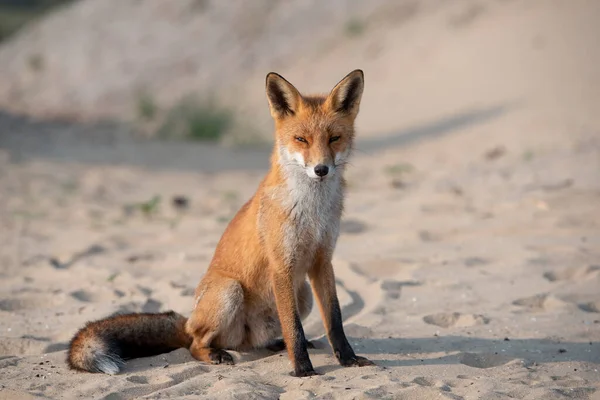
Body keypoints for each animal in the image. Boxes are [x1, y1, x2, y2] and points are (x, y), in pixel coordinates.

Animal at [68, 69, 372, 378]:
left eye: (334, 138)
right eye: (301, 139)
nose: (321, 169)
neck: (312, 211)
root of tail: (188, 320)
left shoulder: (322, 260)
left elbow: (334, 320)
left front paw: (348, 358)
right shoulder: (281, 265)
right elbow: (293, 328)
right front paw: (302, 369)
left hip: (303, 295)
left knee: (252, 343)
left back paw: (273, 344)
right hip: (230, 291)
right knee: (195, 343)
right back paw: (214, 353)